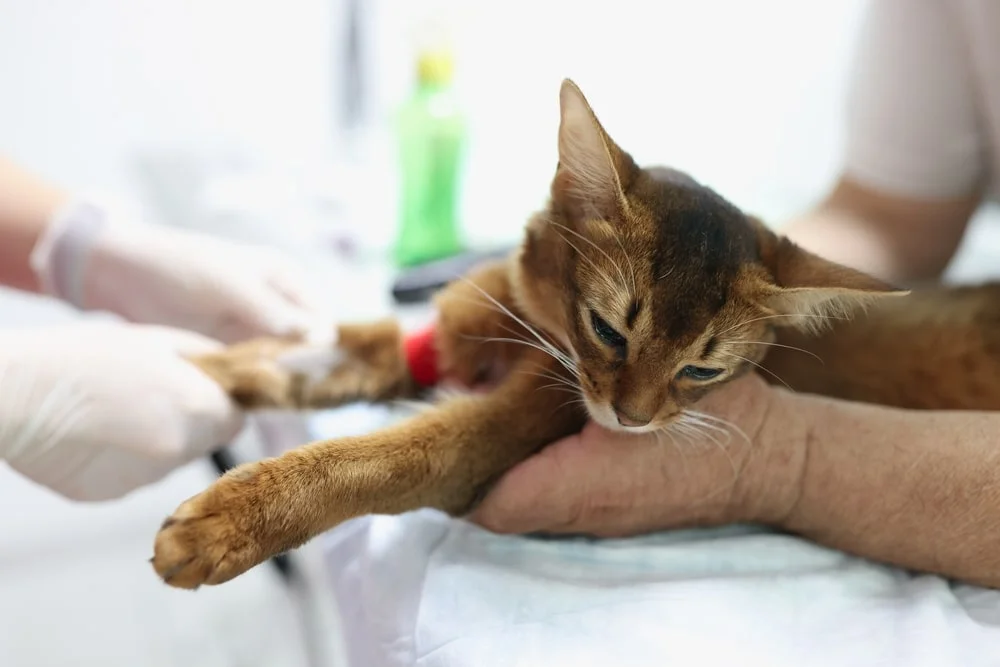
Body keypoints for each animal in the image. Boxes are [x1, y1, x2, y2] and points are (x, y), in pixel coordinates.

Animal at [148, 79, 1000, 588]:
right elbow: (322, 352)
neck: (531, 325)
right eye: (608, 330)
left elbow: (383, 456)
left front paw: (224, 524)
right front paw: (194, 368)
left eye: (703, 372)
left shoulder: (495, 437)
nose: (632, 419)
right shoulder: (433, 346)